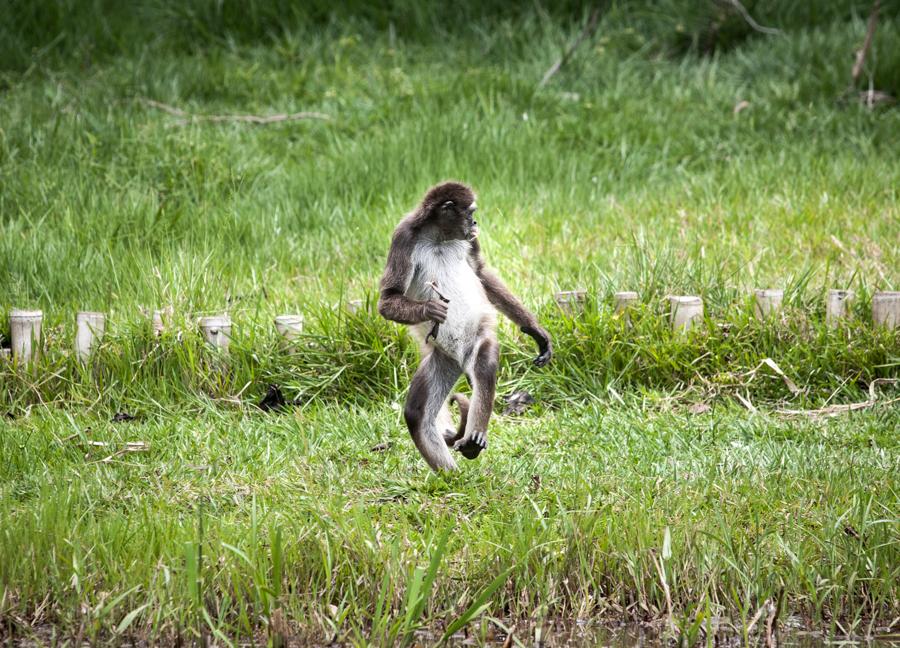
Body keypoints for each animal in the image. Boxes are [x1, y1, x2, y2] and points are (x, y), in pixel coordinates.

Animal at [376, 182, 552, 470]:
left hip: (477, 340)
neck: (440, 238)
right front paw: (429, 309)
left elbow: (479, 271)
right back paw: (452, 476)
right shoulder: (404, 234)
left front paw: (534, 330)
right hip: (443, 359)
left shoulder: (470, 239)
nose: (476, 222)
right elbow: (388, 298)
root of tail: (459, 360)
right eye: (471, 213)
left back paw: (473, 439)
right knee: (416, 414)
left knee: (483, 366)